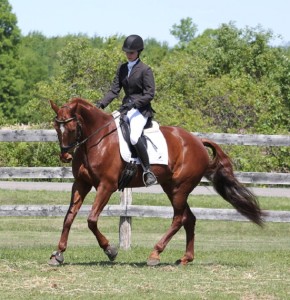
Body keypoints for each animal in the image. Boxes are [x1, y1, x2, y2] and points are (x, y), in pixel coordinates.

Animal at [48, 97, 264, 266]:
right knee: (189, 218)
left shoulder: (106, 186)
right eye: (56, 127)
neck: (97, 140)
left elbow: (91, 220)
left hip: (180, 189)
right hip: (171, 187)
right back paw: (185, 258)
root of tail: (197, 141)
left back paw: (155, 254)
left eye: (72, 127)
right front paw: (58, 253)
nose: (66, 155)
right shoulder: (81, 184)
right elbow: (69, 216)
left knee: (179, 219)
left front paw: (110, 250)